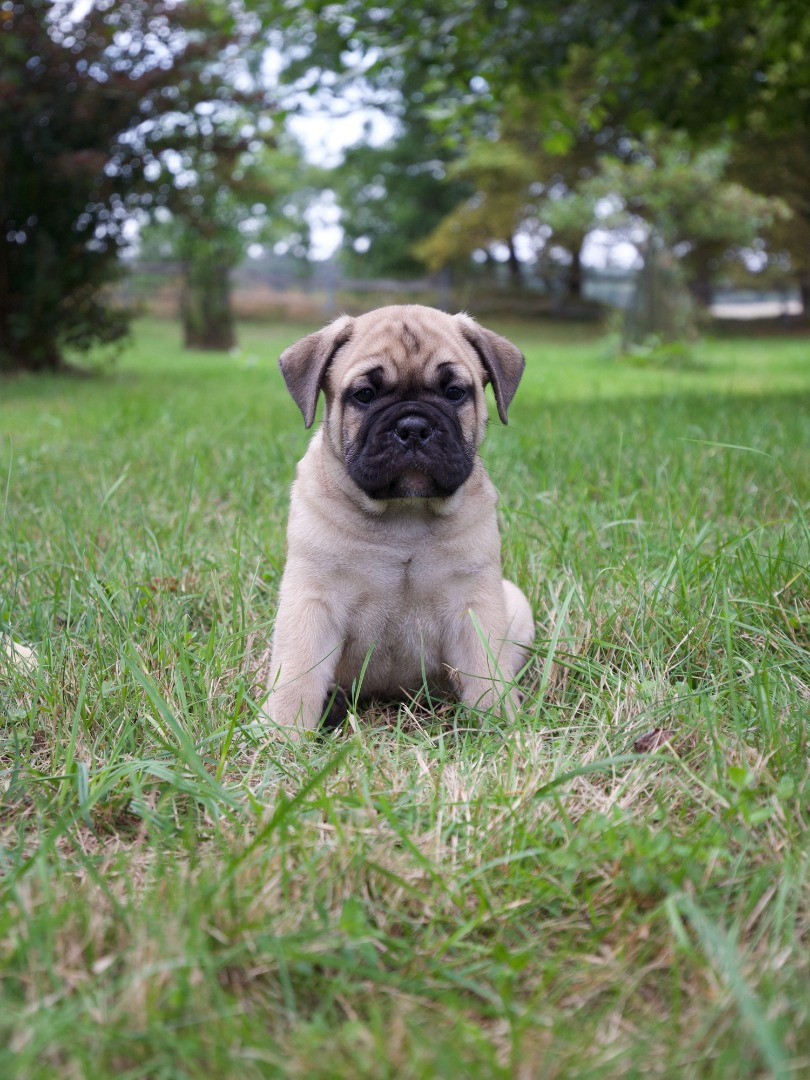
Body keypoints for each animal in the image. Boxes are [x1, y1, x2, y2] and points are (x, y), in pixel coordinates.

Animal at [264, 304, 534, 733]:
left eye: (455, 393)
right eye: (365, 395)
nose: (413, 427)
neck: (404, 516)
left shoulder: (473, 603)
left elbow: (487, 671)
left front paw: (501, 727)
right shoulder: (312, 602)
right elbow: (297, 675)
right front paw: (281, 733)